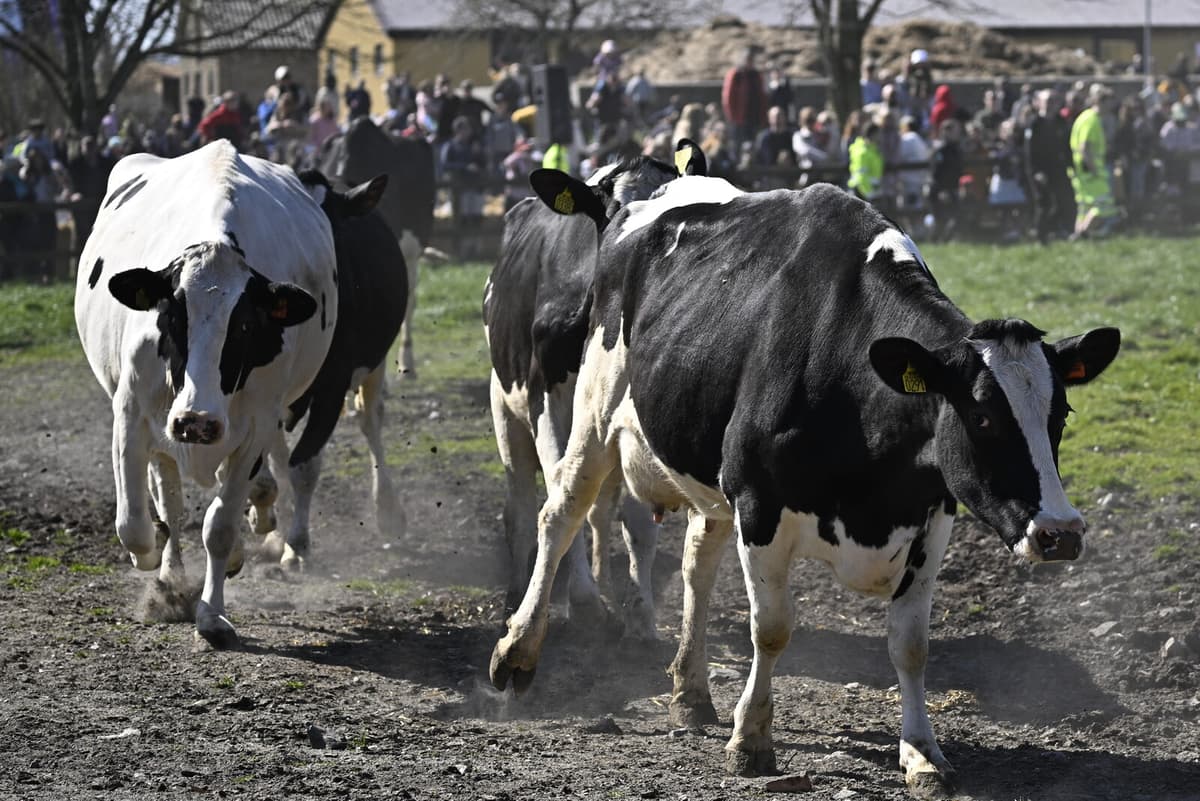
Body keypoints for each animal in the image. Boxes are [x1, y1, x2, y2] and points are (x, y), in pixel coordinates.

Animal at [74, 140, 337, 649]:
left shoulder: (254, 426)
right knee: (169, 501)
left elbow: (220, 524)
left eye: (247, 326)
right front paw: (153, 559)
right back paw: (169, 573)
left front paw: (212, 613)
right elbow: (133, 523)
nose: (196, 420)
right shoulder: (131, 413)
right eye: (171, 316)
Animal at [244, 170, 409, 569]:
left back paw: (388, 511)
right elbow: (274, 463)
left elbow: (304, 465)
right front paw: (273, 531)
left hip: (374, 362)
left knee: (370, 419)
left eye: (332, 226)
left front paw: (298, 545)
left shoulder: (333, 385)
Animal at [483, 142, 706, 637]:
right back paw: (517, 597)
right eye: (612, 214)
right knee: (520, 508)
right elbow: (560, 489)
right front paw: (583, 602)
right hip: (505, 409)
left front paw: (640, 615)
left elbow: (637, 519)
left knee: (603, 508)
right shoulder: (546, 397)